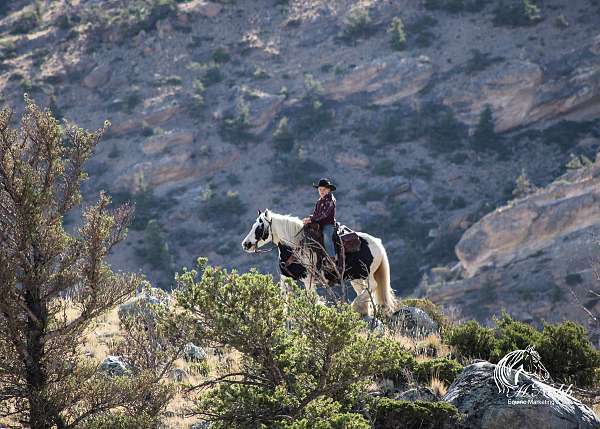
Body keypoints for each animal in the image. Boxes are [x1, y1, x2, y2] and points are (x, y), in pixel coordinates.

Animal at [239, 209, 398, 316]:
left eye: (259, 227)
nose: (245, 244)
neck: (294, 247)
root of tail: (376, 243)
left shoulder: (308, 280)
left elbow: (311, 299)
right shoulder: (285, 278)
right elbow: (284, 299)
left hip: (367, 273)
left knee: (373, 286)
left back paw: (355, 307)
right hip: (356, 277)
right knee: (364, 291)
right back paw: (362, 310)